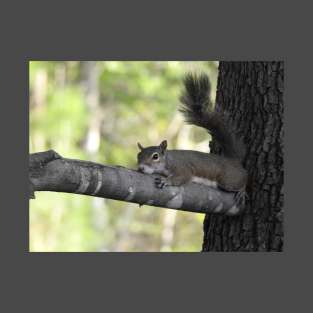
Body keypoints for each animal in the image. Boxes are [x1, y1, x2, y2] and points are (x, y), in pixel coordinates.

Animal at [136, 73, 246, 208]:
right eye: (138, 155)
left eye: (155, 156)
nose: (141, 168)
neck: (168, 160)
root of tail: (233, 161)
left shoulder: (182, 168)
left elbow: (183, 177)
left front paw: (166, 181)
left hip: (228, 179)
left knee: (244, 179)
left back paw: (242, 191)